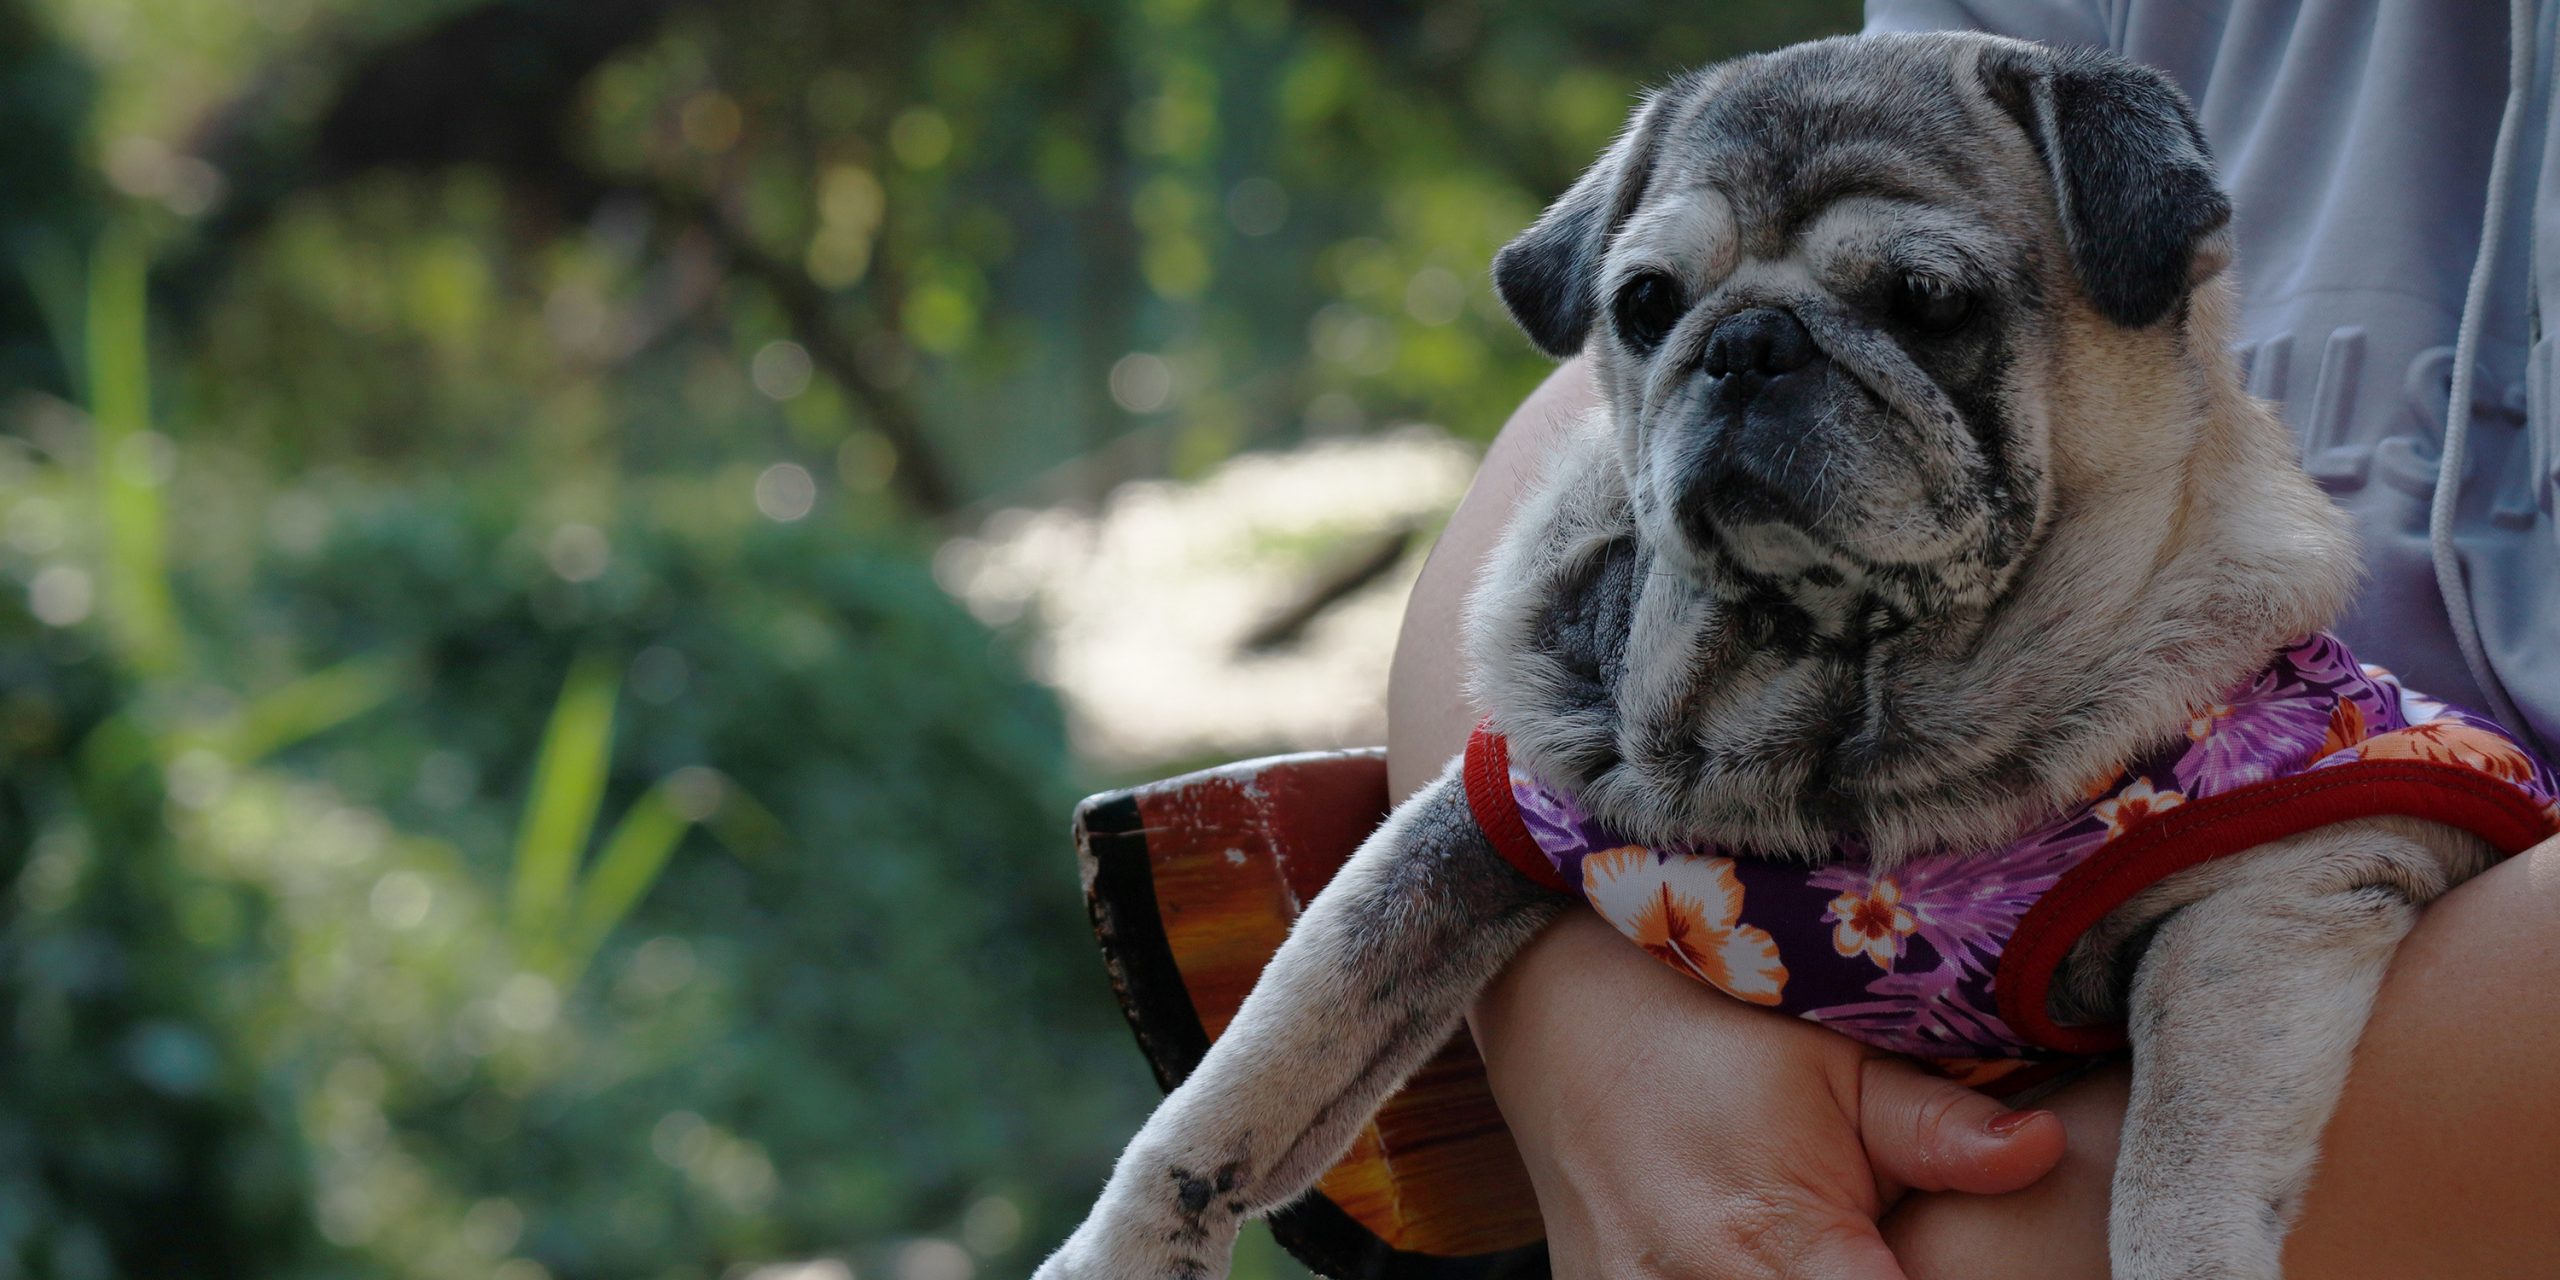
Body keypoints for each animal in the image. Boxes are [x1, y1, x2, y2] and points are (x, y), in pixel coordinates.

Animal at [1034, 30, 2539, 1280]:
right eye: (1645, 305)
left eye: (1928, 300)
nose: (1748, 341)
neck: (1821, 706)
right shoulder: (1466, 835)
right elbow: (1263, 1063)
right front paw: (1127, 1245)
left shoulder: (2283, 880)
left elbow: (2180, 1156)